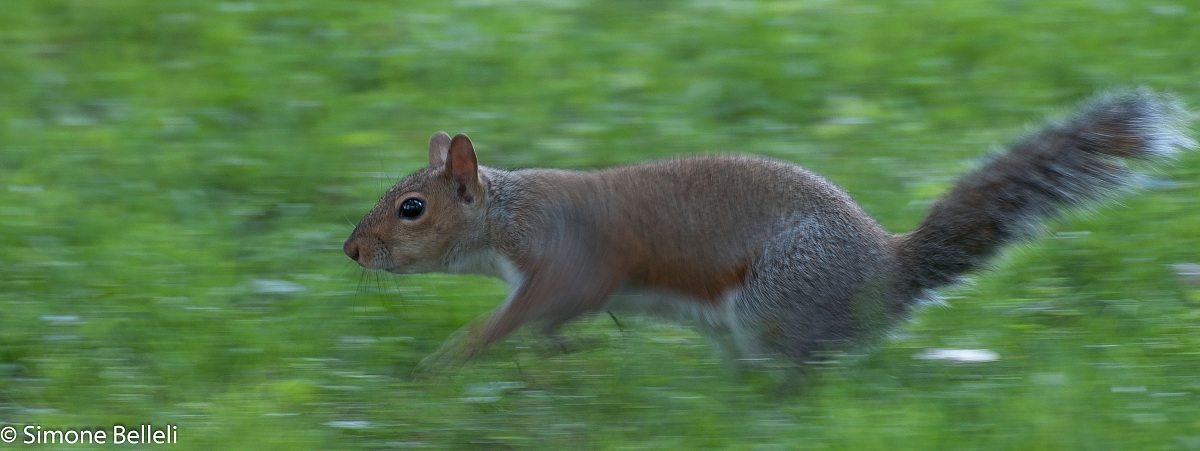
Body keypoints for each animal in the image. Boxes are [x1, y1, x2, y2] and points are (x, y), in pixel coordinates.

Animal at [343, 88, 1194, 371]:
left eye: (412, 208)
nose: (351, 249)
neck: (507, 214)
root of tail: (886, 274)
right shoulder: (562, 288)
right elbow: (550, 326)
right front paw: (561, 355)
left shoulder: (567, 261)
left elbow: (513, 318)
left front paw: (445, 361)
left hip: (777, 296)